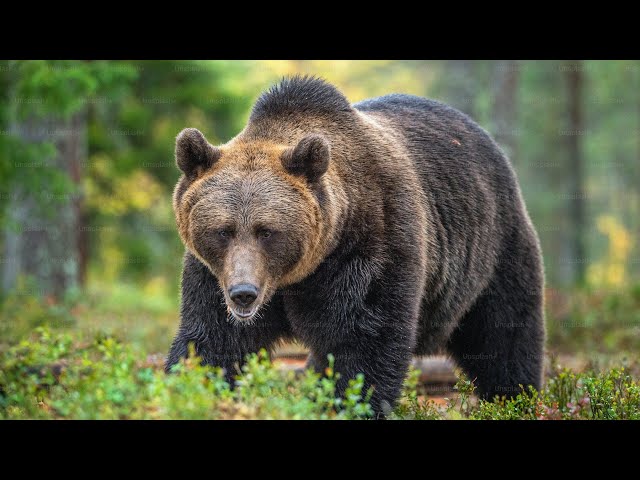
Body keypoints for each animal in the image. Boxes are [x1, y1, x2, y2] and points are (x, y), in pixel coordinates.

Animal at [165, 76, 544, 416]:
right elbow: (212, 339)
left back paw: (515, 397)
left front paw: (353, 403)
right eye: (223, 231)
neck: (294, 276)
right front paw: (189, 389)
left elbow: (365, 337)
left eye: (267, 231)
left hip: (493, 248)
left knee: (503, 332)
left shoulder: (371, 244)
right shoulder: (212, 274)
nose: (244, 293)